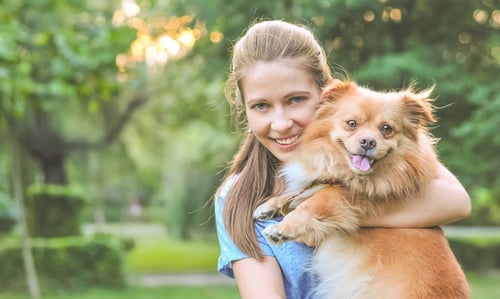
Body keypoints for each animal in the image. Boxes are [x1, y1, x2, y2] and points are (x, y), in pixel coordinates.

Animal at [254, 80, 468, 299]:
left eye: (386, 129)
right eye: (351, 123)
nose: (368, 141)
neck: (348, 174)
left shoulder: (353, 194)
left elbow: (315, 201)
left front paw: (282, 228)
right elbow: (302, 193)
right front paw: (270, 206)